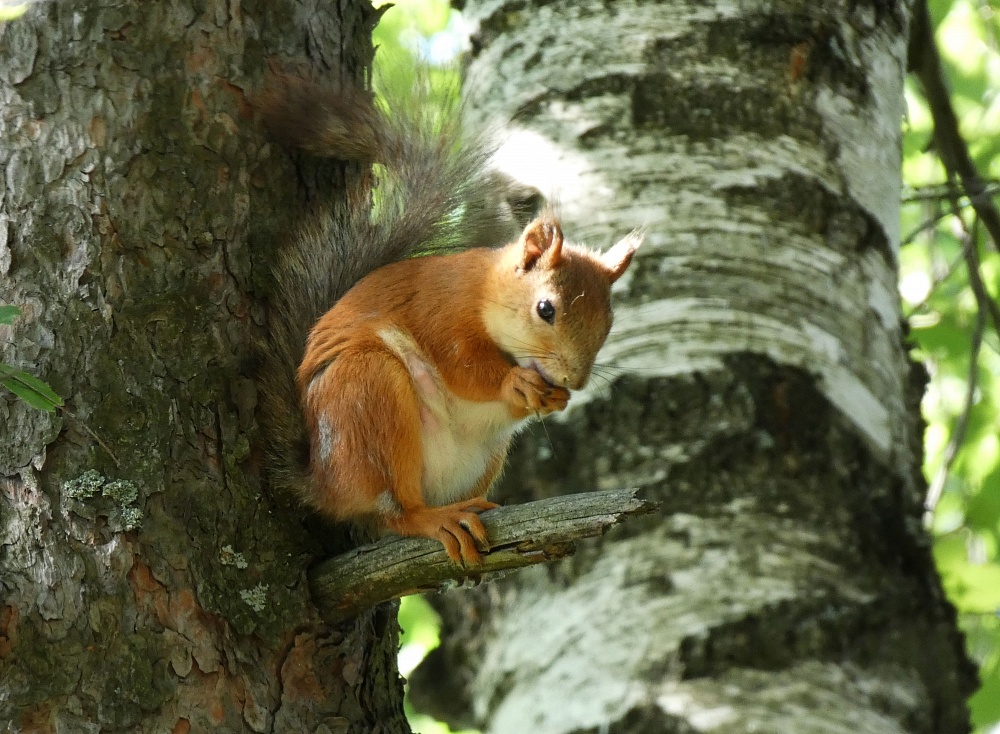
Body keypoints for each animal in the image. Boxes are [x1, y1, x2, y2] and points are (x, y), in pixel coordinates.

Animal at [258, 75, 640, 568]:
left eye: (609, 322)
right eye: (546, 309)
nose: (573, 380)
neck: (483, 291)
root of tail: (323, 483)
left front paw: (553, 399)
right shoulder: (439, 313)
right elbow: (462, 367)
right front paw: (513, 383)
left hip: (484, 455)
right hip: (368, 395)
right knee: (395, 512)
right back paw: (434, 519)